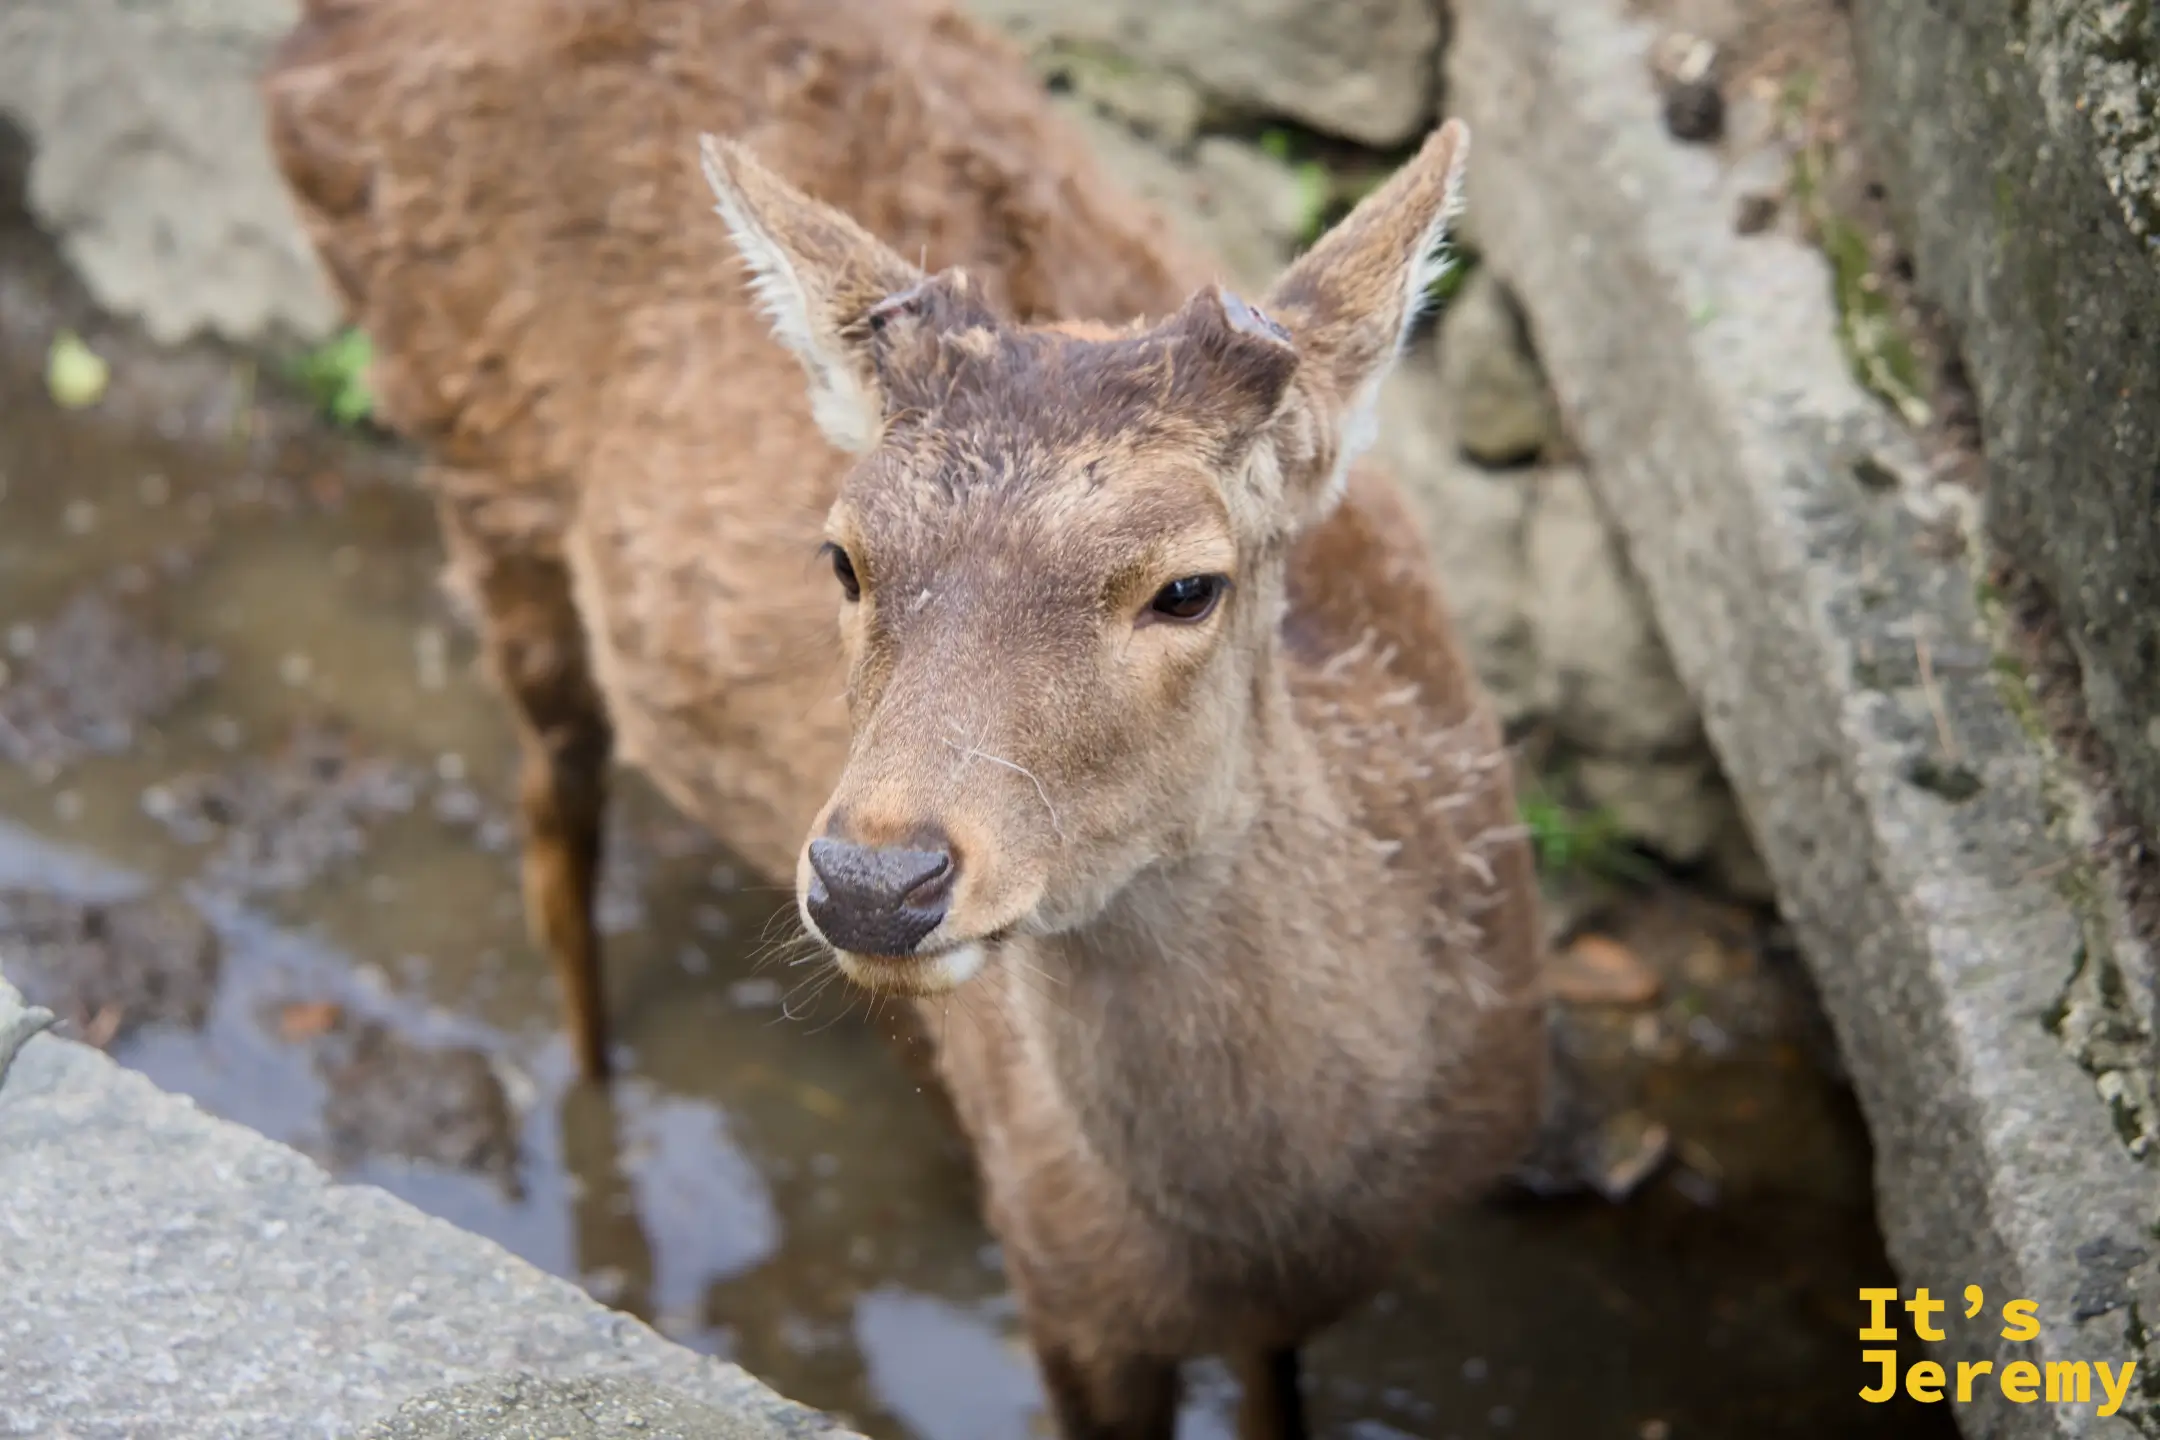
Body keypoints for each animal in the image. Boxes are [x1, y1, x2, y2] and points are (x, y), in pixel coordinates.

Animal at [262, 1, 1548, 1434]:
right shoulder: (1058, 1279)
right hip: (483, 476)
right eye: (843, 556)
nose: (876, 882)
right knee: (554, 817)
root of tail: (312, 37)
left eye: (1188, 585)